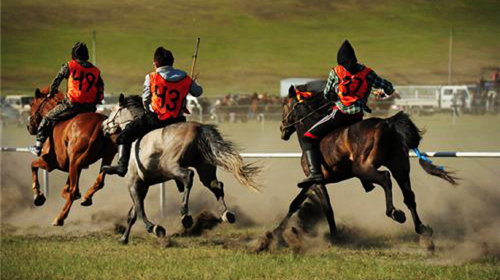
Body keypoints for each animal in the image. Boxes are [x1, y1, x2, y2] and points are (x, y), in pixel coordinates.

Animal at [27, 87, 117, 225]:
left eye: (32, 104)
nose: (29, 126)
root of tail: (99, 125)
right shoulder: (72, 165)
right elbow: (66, 189)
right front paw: (74, 194)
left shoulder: (50, 163)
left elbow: (33, 165)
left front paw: (38, 196)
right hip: (105, 158)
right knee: (99, 182)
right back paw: (86, 197)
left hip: (75, 161)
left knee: (73, 190)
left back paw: (59, 218)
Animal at [100, 94, 260, 243]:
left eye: (113, 110)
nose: (103, 126)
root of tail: (200, 128)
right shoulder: (143, 185)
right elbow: (133, 213)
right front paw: (123, 238)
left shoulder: (133, 183)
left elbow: (139, 209)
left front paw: (154, 228)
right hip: (205, 169)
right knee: (216, 184)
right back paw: (226, 214)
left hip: (171, 167)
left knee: (188, 176)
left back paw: (185, 215)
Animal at [274, 85, 458, 243]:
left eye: (284, 105)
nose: (282, 129)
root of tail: (386, 123)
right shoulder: (312, 182)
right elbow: (295, 203)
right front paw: (276, 231)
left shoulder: (318, 182)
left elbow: (327, 208)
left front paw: (335, 236)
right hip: (400, 168)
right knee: (409, 196)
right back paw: (421, 228)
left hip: (364, 168)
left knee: (385, 178)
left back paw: (394, 212)